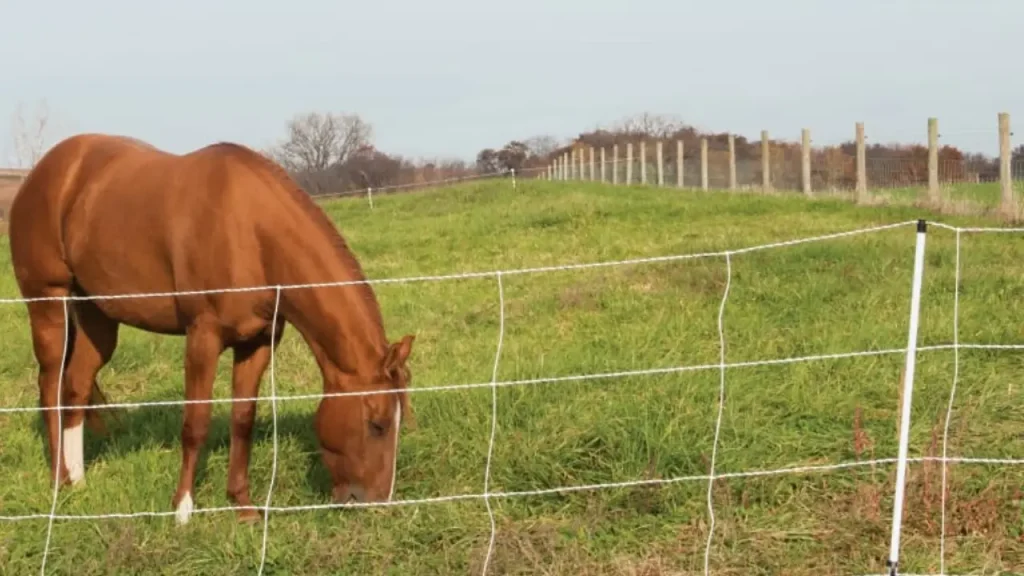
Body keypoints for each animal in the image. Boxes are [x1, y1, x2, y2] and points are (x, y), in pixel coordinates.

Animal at [6, 133, 416, 525]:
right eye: (378, 424)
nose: (377, 503)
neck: (250, 233)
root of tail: (47, 169)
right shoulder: (203, 337)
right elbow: (196, 422)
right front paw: (183, 510)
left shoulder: (258, 342)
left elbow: (243, 420)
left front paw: (243, 507)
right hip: (49, 304)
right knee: (50, 386)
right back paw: (58, 481)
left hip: (97, 315)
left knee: (75, 386)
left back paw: (77, 480)